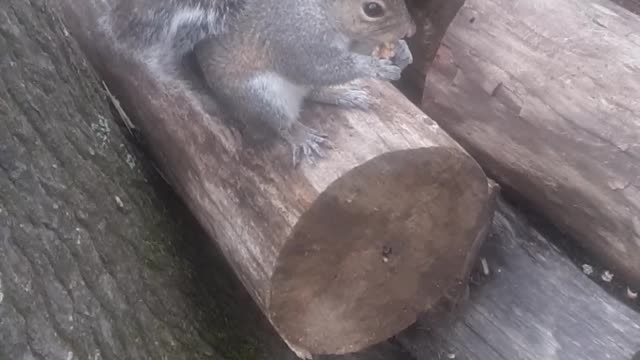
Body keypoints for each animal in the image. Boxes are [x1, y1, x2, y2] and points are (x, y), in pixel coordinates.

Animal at [103, 0, 418, 166]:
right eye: (372, 8)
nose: (410, 30)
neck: (325, 12)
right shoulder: (296, 40)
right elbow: (321, 67)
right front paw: (374, 67)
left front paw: (402, 52)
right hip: (263, 96)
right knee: (280, 123)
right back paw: (299, 135)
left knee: (314, 90)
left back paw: (341, 95)